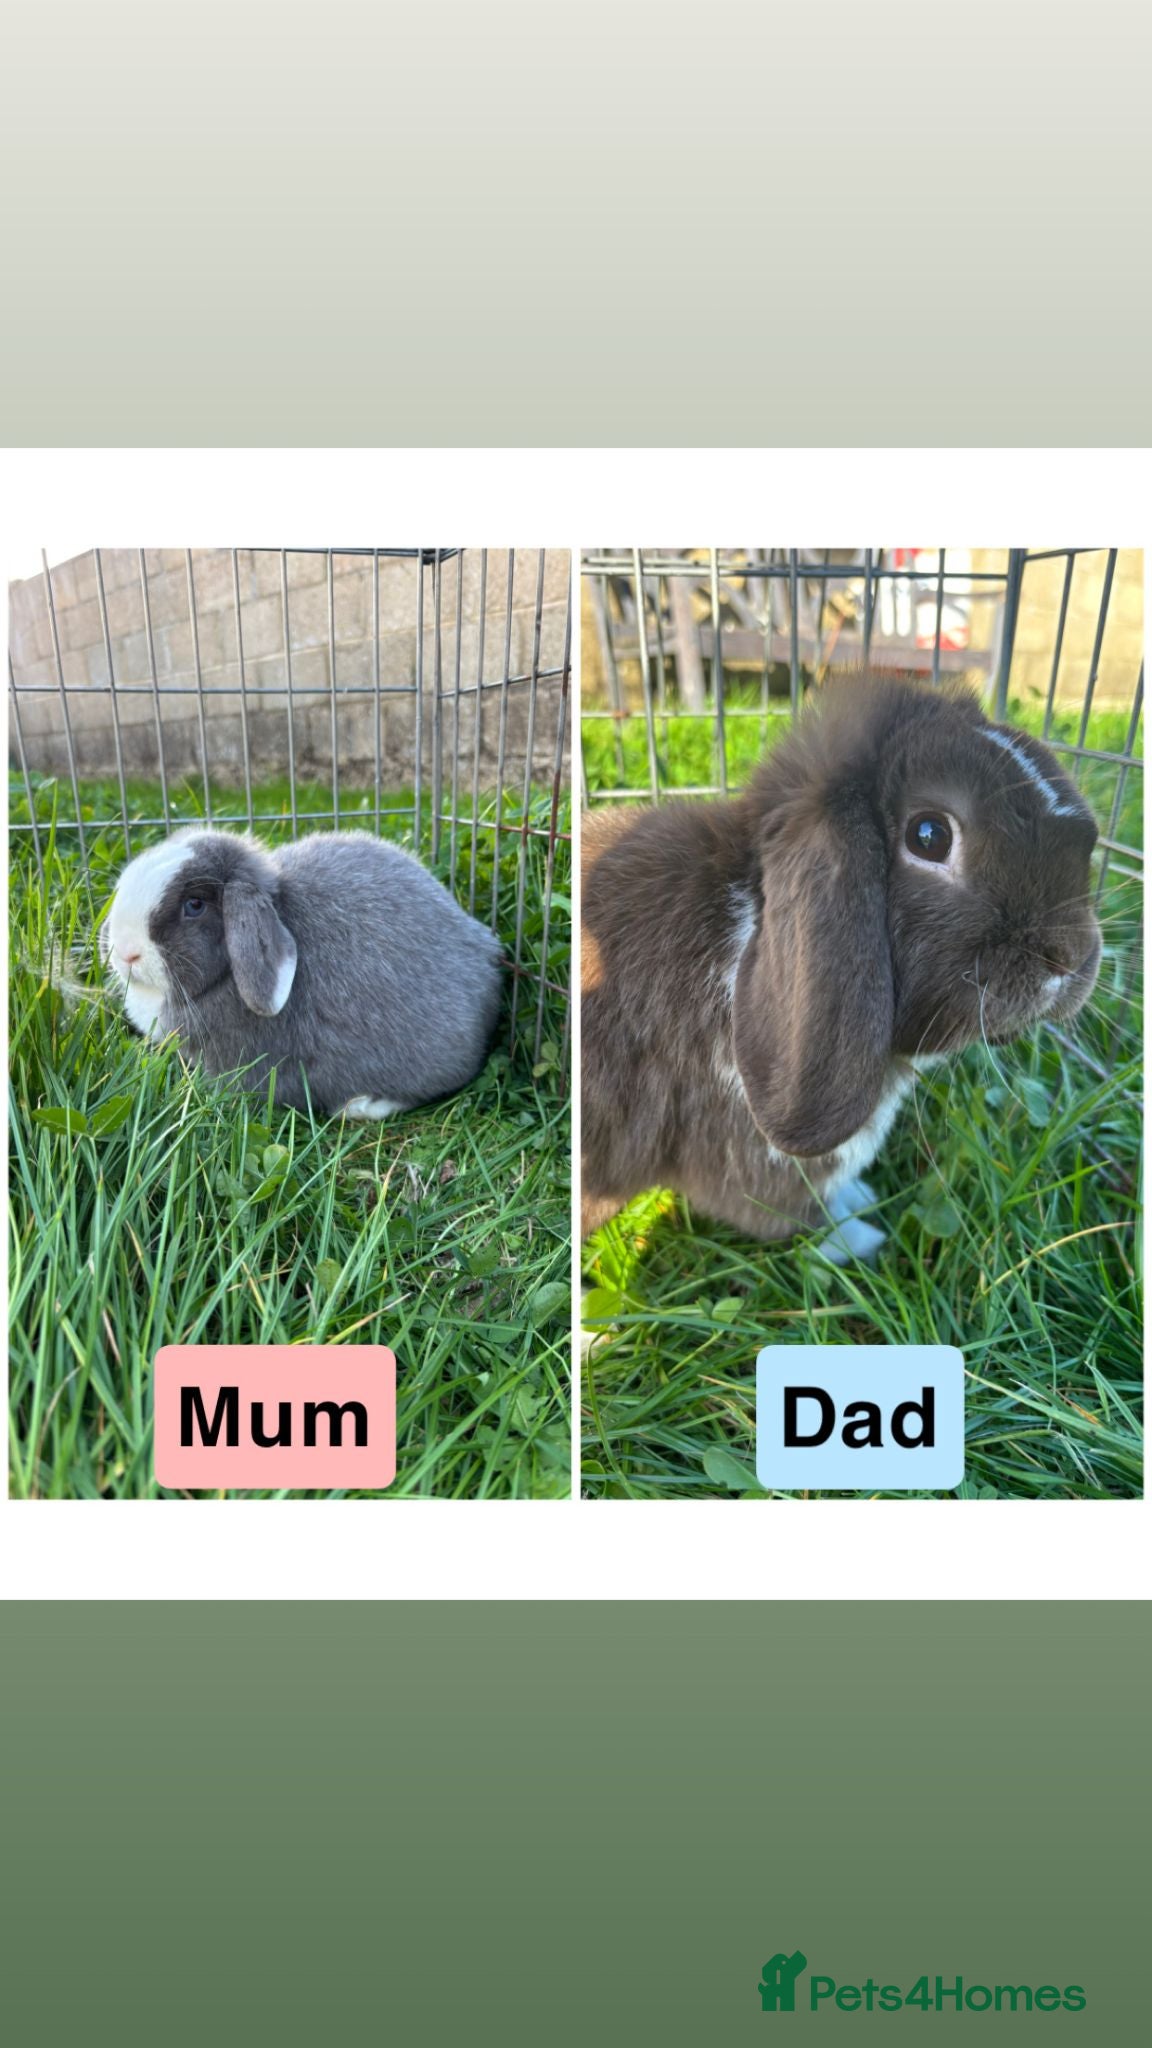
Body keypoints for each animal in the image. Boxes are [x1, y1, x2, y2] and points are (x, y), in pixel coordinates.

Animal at [581, 674, 1103, 1257]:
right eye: (929, 835)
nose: (1071, 957)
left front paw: (861, 1200)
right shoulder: (756, 1165)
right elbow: (795, 1214)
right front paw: (862, 1238)